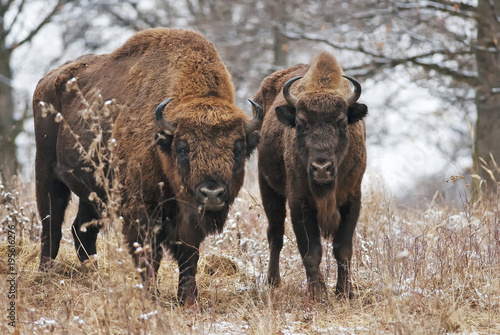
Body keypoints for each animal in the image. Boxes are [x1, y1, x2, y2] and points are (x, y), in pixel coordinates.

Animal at [32, 28, 262, 308]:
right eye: (182, 148)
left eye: (237, 149)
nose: (212, 193)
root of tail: (47, 81)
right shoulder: (141, 210)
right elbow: (149, 255)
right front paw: (152, 299)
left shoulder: (187, 221)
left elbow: (189, 256)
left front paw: (189, 300)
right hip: (47, 174)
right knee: (51, 225)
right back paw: (45, 273)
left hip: (94, 194)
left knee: (81, 231)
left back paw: (94, 277)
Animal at [254, 51, 368, 300]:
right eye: (300, 123)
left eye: (342, 122)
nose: (321, 168)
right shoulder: (299, 202)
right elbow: (311, 252)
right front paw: (316, 295)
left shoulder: (352, 199)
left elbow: (343, 250)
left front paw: (344, 293)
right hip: (268, 189)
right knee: (275, 235)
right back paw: (273, 282)